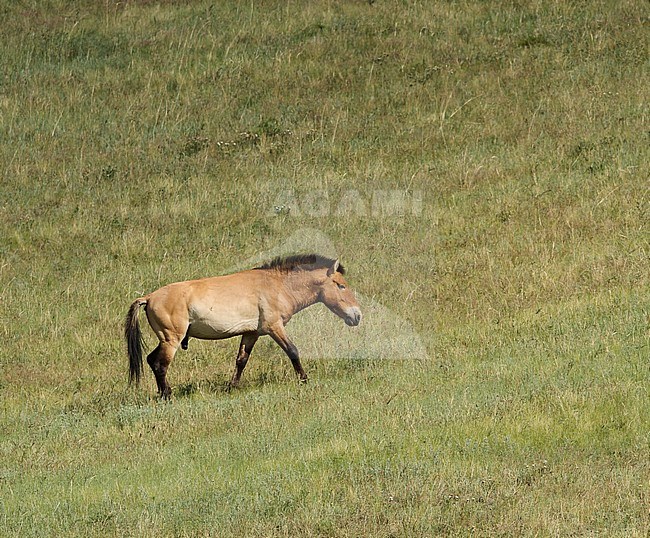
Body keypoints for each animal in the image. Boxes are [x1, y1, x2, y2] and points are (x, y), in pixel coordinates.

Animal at [124, 253, 362, 396]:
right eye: (341, 286)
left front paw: (232, 386)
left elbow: (241, 360)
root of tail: (149, 297)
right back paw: (167, 395)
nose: (357, 315)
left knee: (151, 360)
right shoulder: (274, 327)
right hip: (171, 339)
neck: (278, 286)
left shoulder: (251, 333)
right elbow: (293, 351)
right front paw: (304, 379)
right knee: (160, 364)